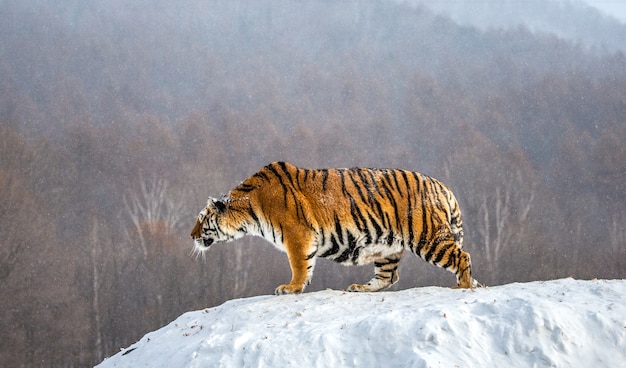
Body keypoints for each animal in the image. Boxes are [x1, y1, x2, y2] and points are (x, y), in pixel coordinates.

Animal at [188, 162, 476, 294]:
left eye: (201, 219)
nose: (191, 235)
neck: (249, 211)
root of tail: (442, 186)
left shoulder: (297, 235)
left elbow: (299, 265)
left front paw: (291, 288)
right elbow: (305, 265)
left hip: (427, 236)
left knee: (462, 256)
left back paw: (462, 287)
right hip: (388, 248)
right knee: (388, 277)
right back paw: (360, 288)